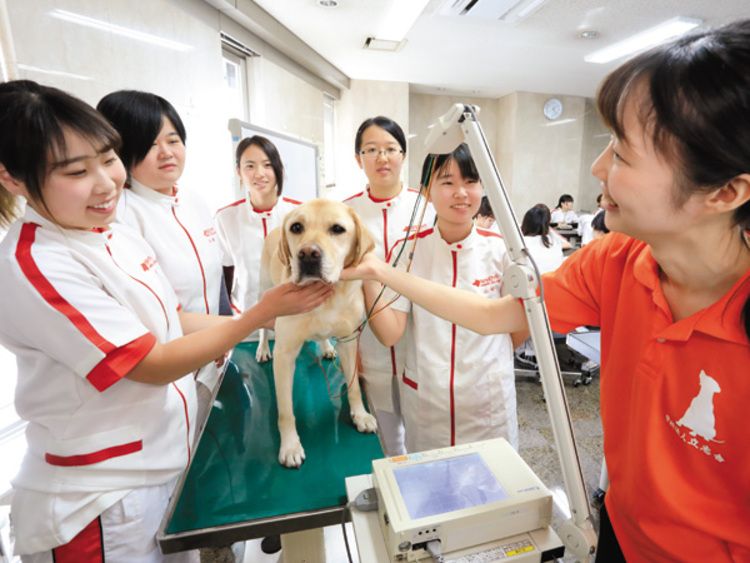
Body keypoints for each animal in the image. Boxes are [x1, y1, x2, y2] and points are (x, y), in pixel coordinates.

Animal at [262, 198, 382, 468]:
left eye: (337, 229)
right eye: (296, 227)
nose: (307, 254)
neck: (326, 299)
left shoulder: (349, 341)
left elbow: (354, 387)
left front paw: (360, 415)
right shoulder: (284, 353)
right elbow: (286, 411)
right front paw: (290, 445)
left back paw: (327, 348)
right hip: (261, 294)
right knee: (262, 327)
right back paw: (262, 349)